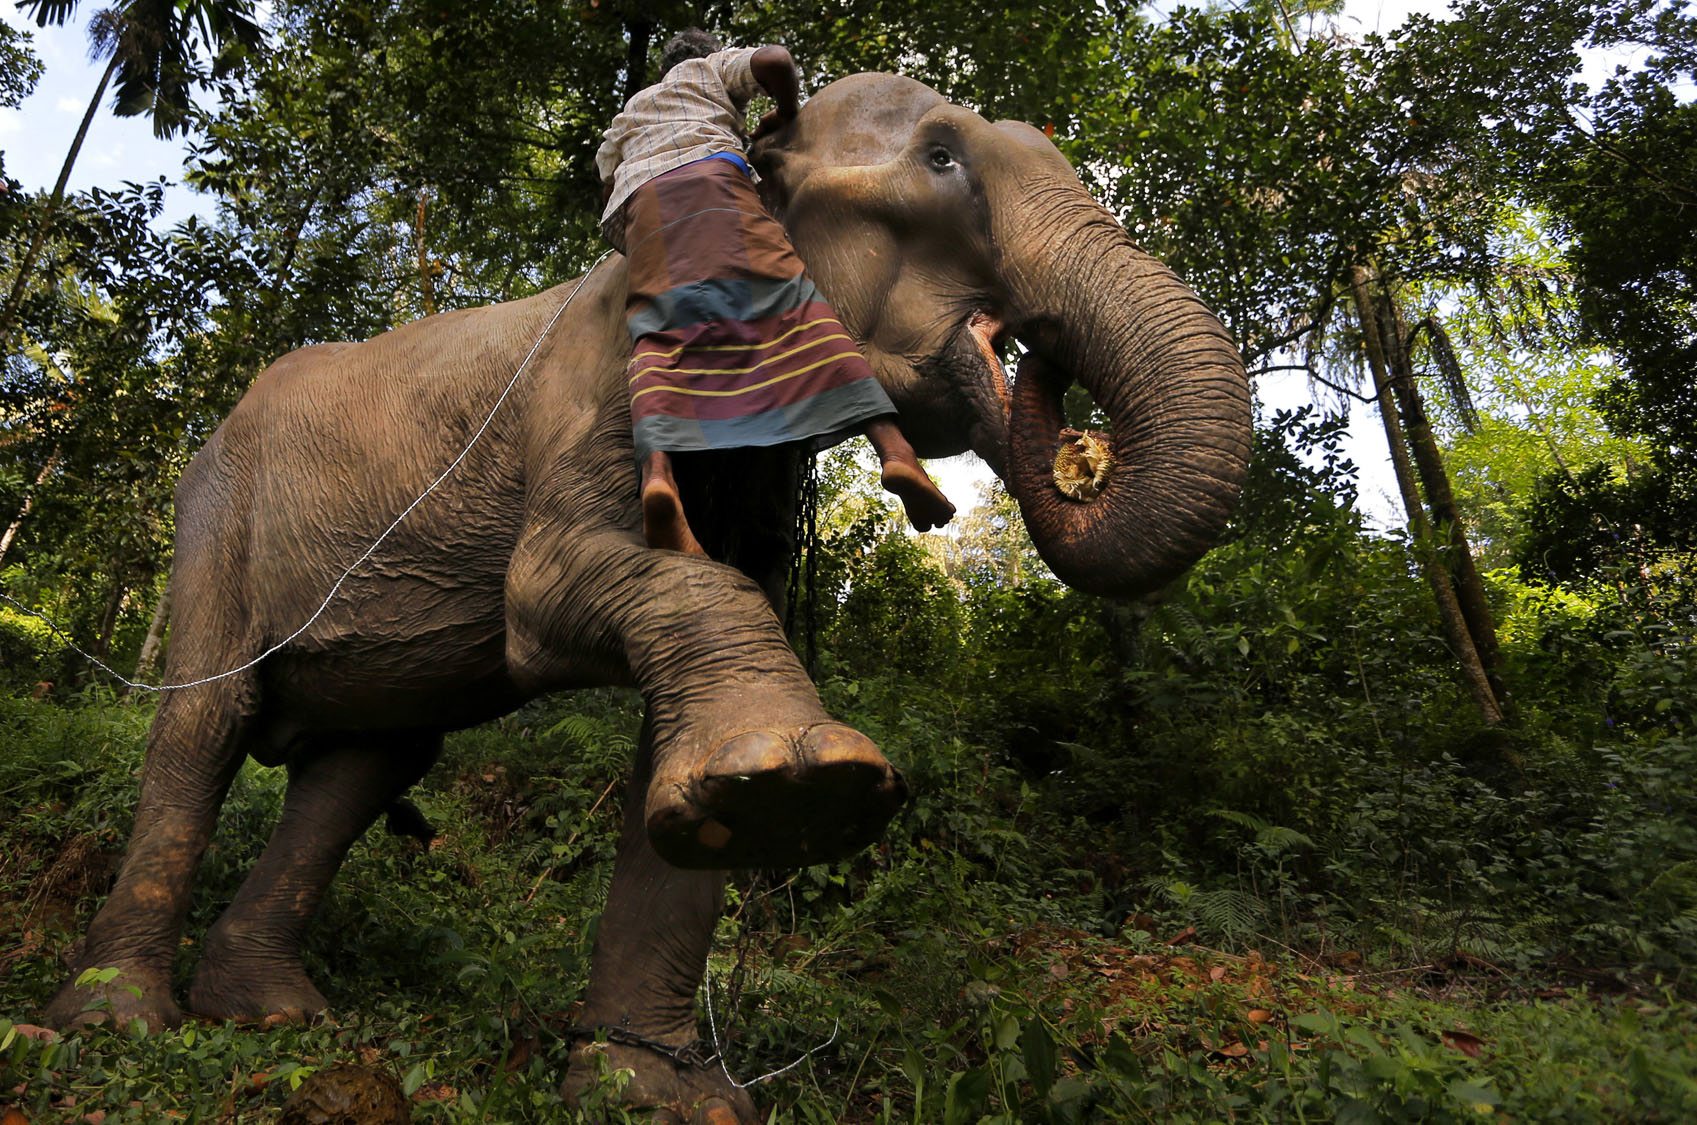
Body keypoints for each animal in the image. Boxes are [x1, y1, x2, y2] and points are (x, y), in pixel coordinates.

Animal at [46, 74, 1255, 1119]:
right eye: (941, 161)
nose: (1034, 361)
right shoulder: (592, 381)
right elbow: (549, 601)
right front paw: (809, 787)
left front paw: (660, 1085)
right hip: (215, 512)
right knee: (207, 724)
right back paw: (116, 1023)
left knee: (361, 766)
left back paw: (272, 1017)